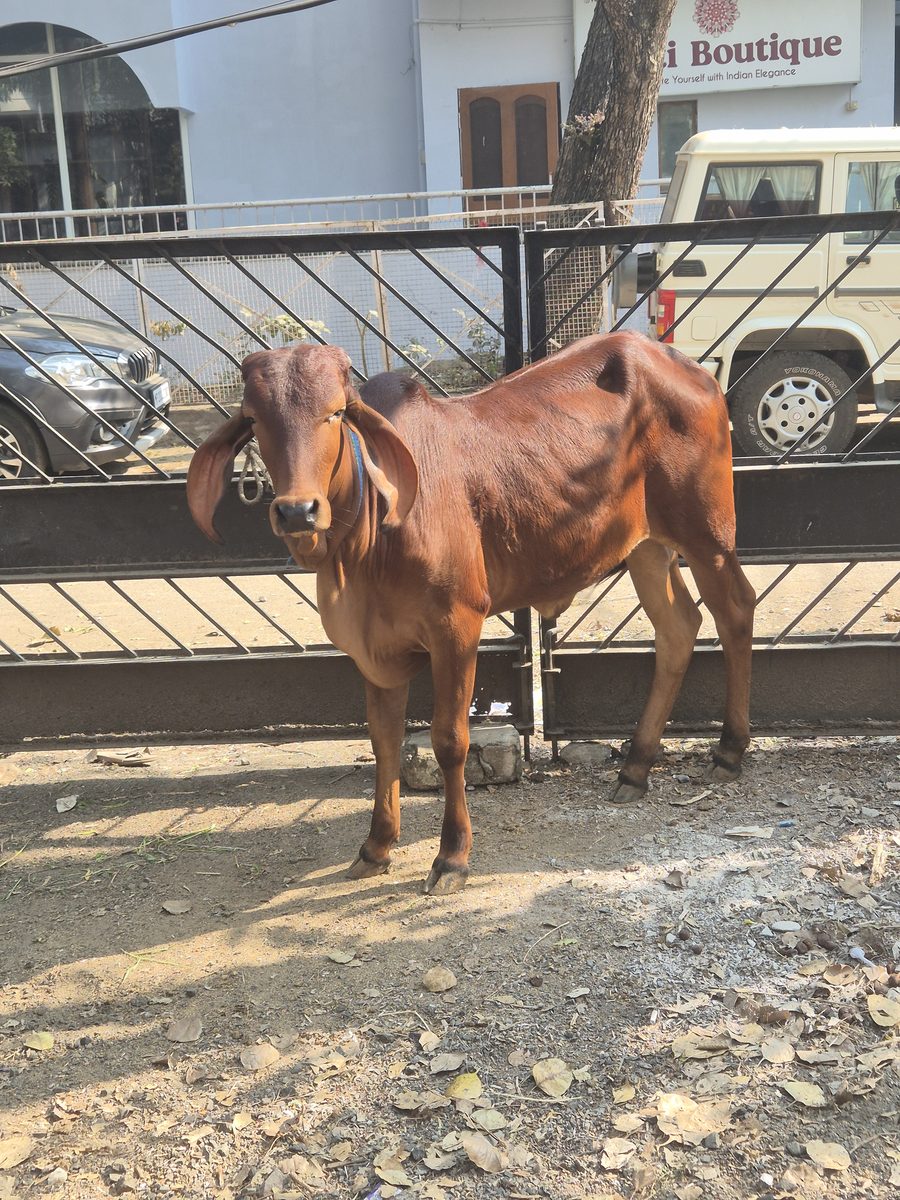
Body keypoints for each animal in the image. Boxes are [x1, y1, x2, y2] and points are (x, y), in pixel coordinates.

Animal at [186, 333, 755, 894]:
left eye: (335, 413)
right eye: (254, 419)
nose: (297, 511)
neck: (365, 543)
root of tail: (687, 365)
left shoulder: (457, 627)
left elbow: (449, 740)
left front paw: (452, 855)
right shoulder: (373, 649)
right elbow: (383, 741)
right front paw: (376, 846)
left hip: (708, 534)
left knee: (735, 610)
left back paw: (729, 750)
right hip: (646, 548)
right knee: (678, 628)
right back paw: (635, 767)